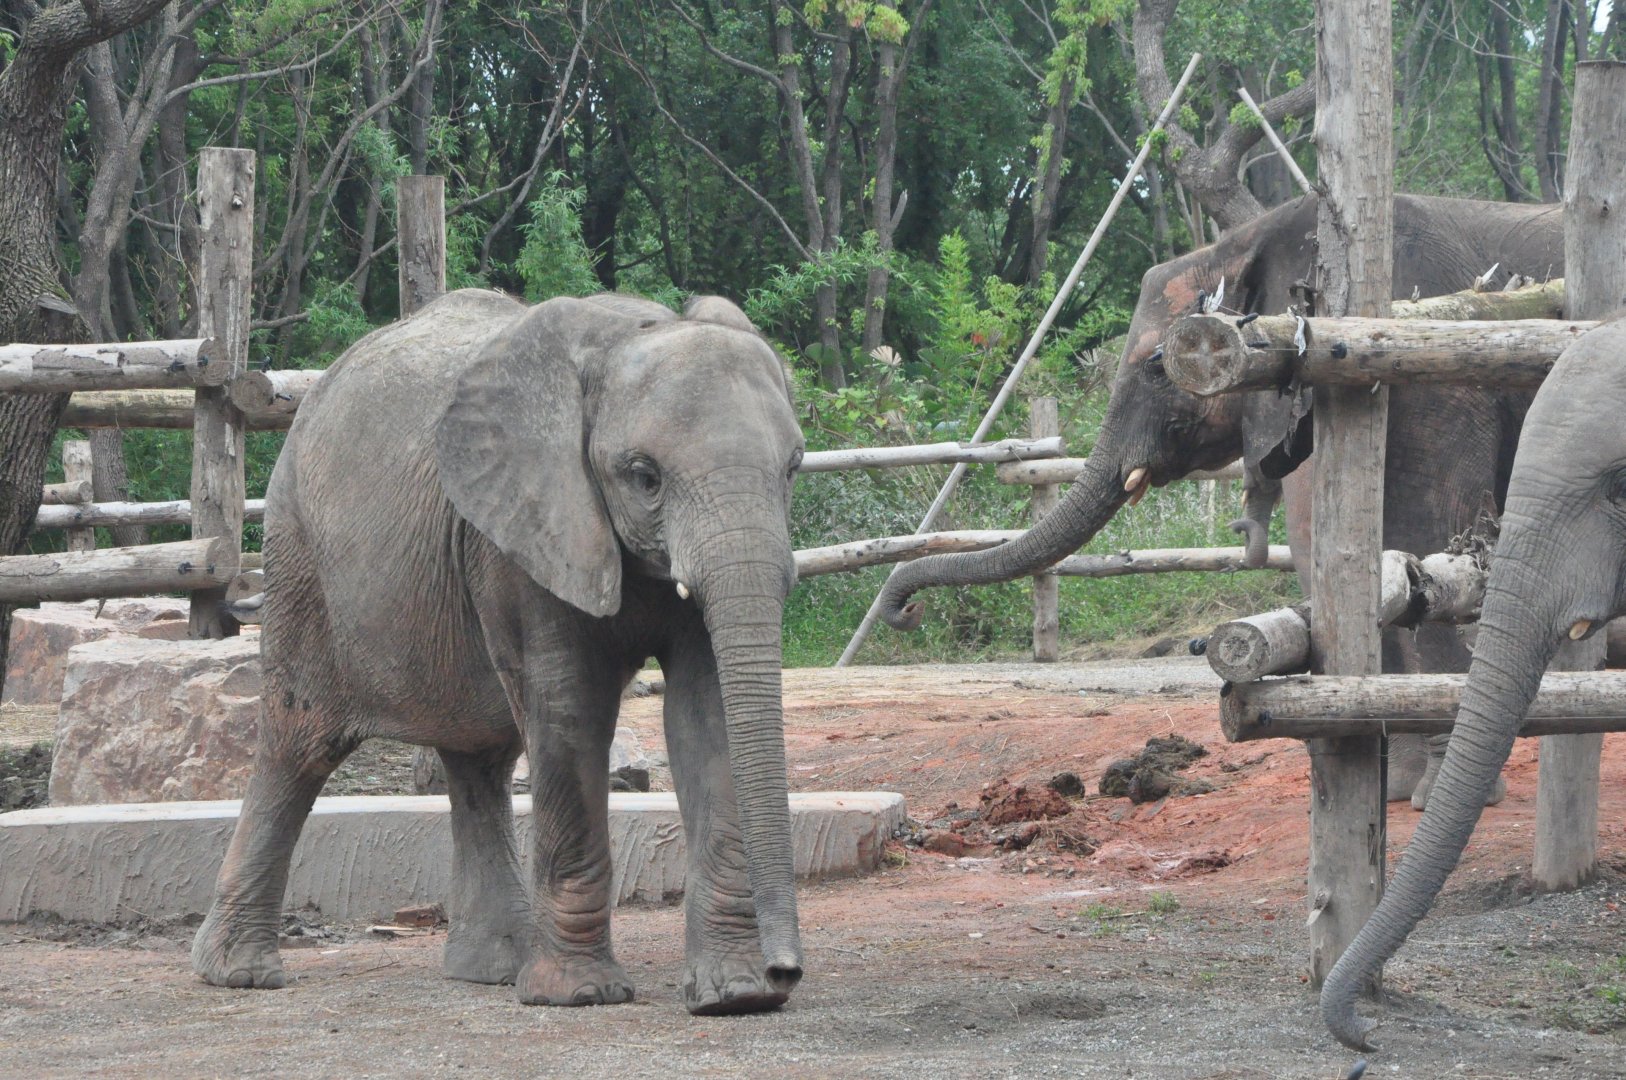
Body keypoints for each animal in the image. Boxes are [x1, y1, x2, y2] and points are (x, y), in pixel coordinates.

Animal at [191, 289, 808, 1016]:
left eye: (793, 469)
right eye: (644, 476)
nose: (786, 972)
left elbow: (706, 716)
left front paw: (733, 996)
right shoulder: (523, 532)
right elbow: (571, 710)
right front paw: (581, 995)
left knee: (478, 758)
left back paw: (493, 969)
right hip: (298, 554)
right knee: (298, 746)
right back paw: (238, 973)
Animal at [879, 193, 1563, 807]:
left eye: (1158, 368)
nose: (906, 610)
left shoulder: (1429, 363)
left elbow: (1426, 536)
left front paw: (1434, 797)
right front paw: (1393, 789)